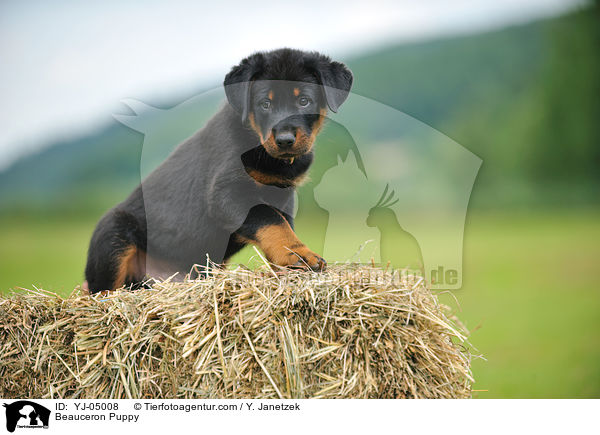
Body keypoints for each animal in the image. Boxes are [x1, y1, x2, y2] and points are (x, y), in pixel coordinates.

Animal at [84, 47, 352, 292]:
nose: (284, 140)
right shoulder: (226, 192)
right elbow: (270, 219)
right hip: (112, 235)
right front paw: (298, 254)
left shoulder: (283, 194)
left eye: (304, 101)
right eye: (264, 104)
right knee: (103, 287)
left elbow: (282, 223)